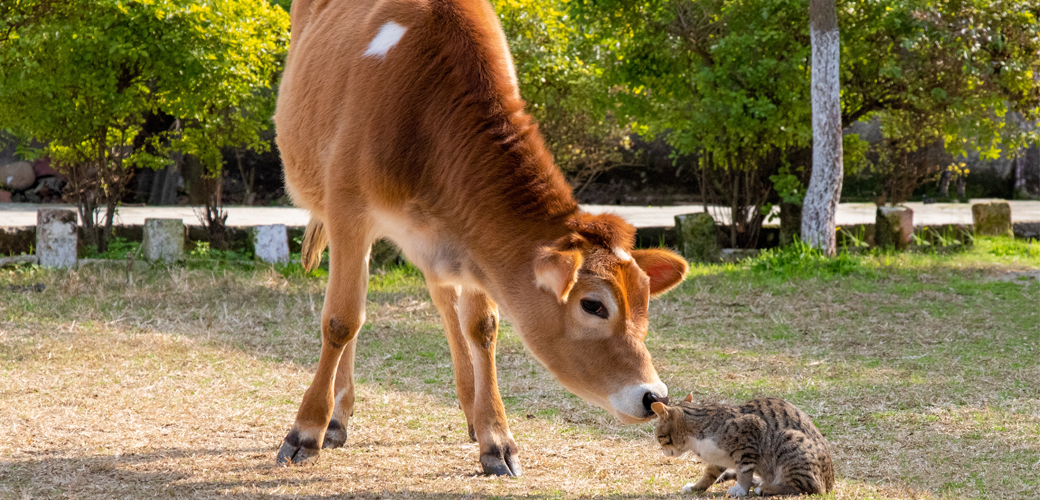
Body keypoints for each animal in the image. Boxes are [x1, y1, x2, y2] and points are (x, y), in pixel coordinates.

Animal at [274, 0, 690, 474]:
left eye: (644, 300)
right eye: (593, 305)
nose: (653, 395)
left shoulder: (473, 239)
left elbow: (481, 327)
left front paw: (495, 437)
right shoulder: (349, 212)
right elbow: (341, 321)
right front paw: (306, 430)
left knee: (446, 303)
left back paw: (469, 408)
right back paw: (337, 419)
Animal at [653, 392, 832, 494]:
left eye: (659, 437)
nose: (662, 451)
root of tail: (830, 483)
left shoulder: (749, 439)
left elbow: (744, 472)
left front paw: (740, 490)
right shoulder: (717, 458)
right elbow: (709, 475)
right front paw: (696, 488)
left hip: (790, 442)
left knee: (810, 487)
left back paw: (765, 488)